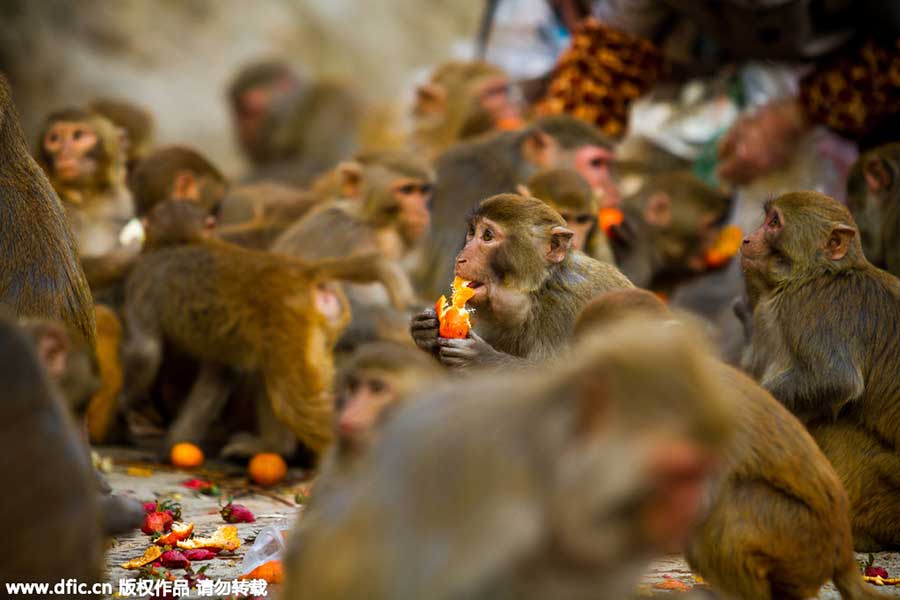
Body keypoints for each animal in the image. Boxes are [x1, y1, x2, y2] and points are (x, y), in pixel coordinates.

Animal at [35, 107, 141, 297]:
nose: (64, 154)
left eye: (78, 136)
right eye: (54, 139)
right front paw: (129, 254)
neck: (88, 196)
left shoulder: (122, 201)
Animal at [122, 200, 413, 462]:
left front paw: (126, 405)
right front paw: (175, 443)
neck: (185, 240)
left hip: (290, 323)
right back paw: (273, 448)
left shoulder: (141, 279)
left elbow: (145, 352)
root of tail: (306, 272)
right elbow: (223, 372)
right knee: (271, 375)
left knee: (293, 400)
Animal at [411, 194, 632, 369]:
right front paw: (425, 331)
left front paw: (483, 359)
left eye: (488, 235)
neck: (538, 291)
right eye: (472, 232)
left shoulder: (561, 309)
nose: (460, 258)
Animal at [740, 191, 900, 549]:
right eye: (767, 218)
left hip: (886, 485)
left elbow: (835, 380)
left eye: (774, 223)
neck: (823, 272)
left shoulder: (813, 308)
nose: (746, 239)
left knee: (833, 427)